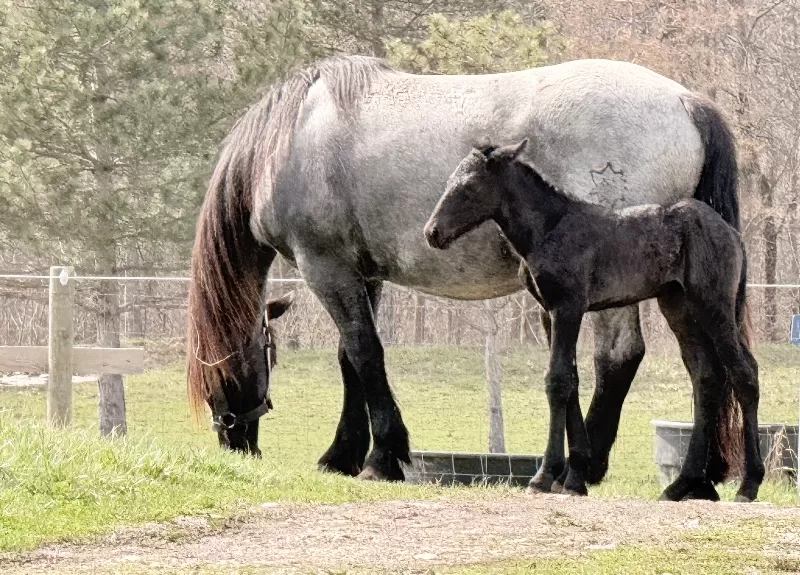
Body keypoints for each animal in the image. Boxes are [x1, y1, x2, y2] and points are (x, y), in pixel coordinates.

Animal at [424, 139, 762, 502]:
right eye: (451, 181)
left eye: (471, 186)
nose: (433, 232)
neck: (548, 228)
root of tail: (732, 233)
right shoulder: (548, 312)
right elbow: (570, 380)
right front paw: (574, 477)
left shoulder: (568, 307)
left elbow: (557, 380)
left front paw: (545, 476)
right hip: (679, 307)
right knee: (705, 376)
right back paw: (681, 485)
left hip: (715, 305)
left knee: (744, 374)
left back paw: (748, 484)